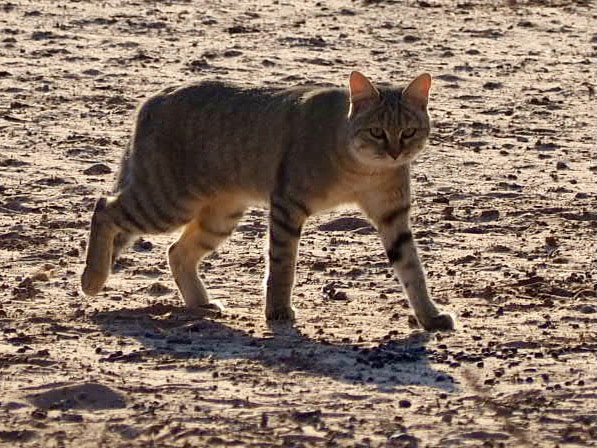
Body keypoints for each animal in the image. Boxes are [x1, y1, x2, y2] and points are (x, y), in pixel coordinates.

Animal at [81, 72, 454, 332]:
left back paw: (200, 304)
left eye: (409, 131)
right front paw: (277, 311)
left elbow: (412, 269)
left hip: (220, 214)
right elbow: (282, 264)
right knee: (104, 207)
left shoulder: (393, 216)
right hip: (169, 201)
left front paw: (430, 316)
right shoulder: (288, 204)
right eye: (377, 131)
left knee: (176, 251)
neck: (365, 170)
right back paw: (92, 279)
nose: (395, 152)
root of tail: (153, 99)